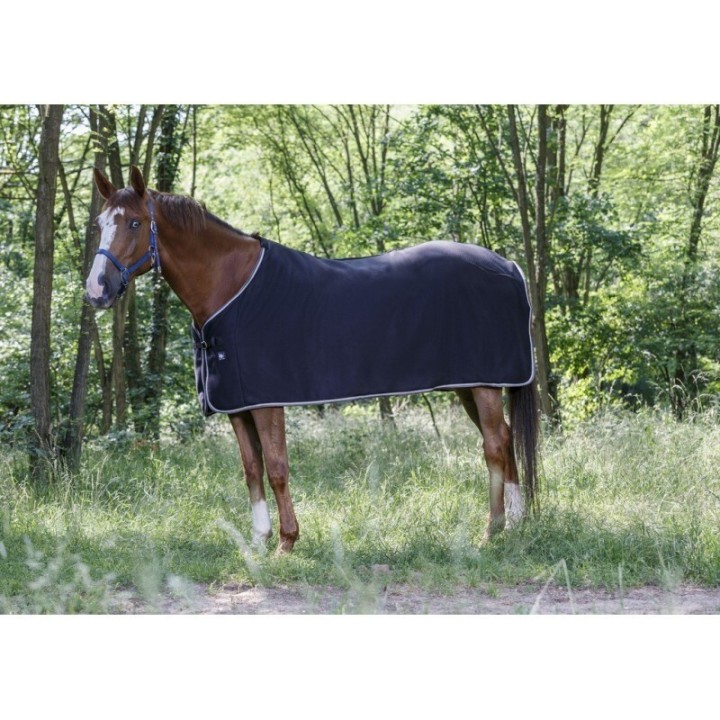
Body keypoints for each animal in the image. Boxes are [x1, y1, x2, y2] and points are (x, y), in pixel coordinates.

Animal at [85, 165, 539, 553]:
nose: (96, 290)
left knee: (494, 444)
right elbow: (251, 469)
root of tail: (509, 266)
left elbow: (276, 467)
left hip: (483, 383)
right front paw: (259, 540)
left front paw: (287, 541)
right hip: (468, 384)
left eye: (135, 223)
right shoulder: (237, 404)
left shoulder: (267, 403)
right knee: (504, 438)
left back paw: (492, 529)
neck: (230, 286)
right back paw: (518, 523)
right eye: (100, 224)